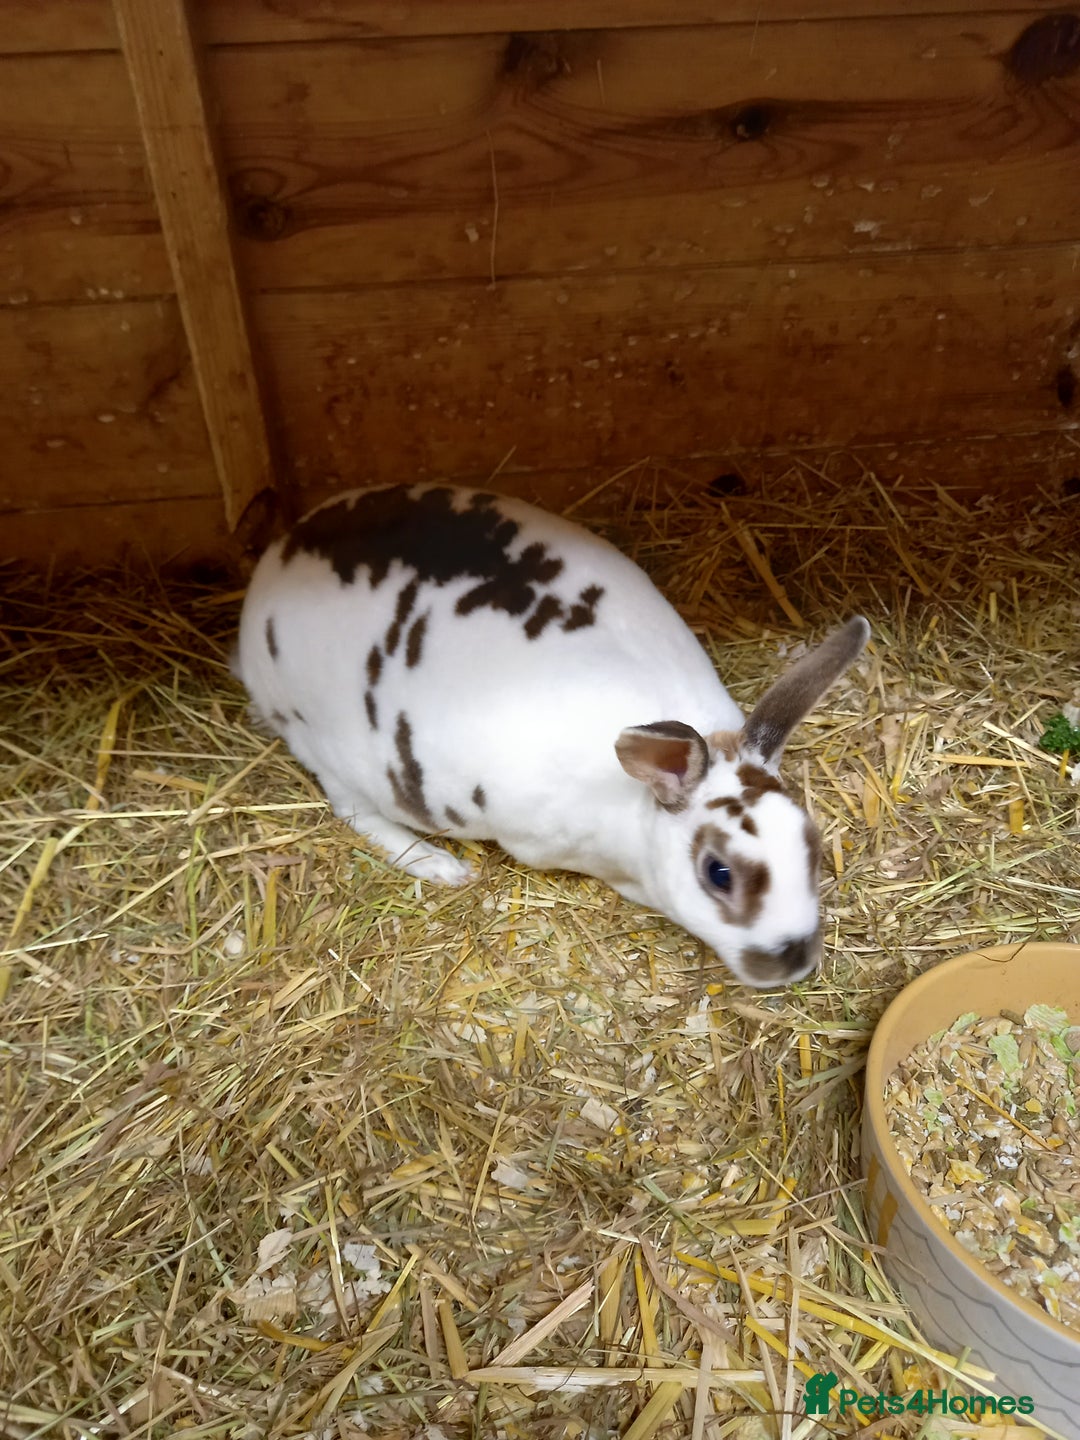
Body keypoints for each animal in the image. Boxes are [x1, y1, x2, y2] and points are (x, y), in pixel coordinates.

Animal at [234, 483, 869, 989]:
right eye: (719, 873)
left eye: (811, 844)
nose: (793, 962)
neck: (634, 810)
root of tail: (277, 560)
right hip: (326, 750)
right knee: (355, 812)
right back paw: (442, 867)